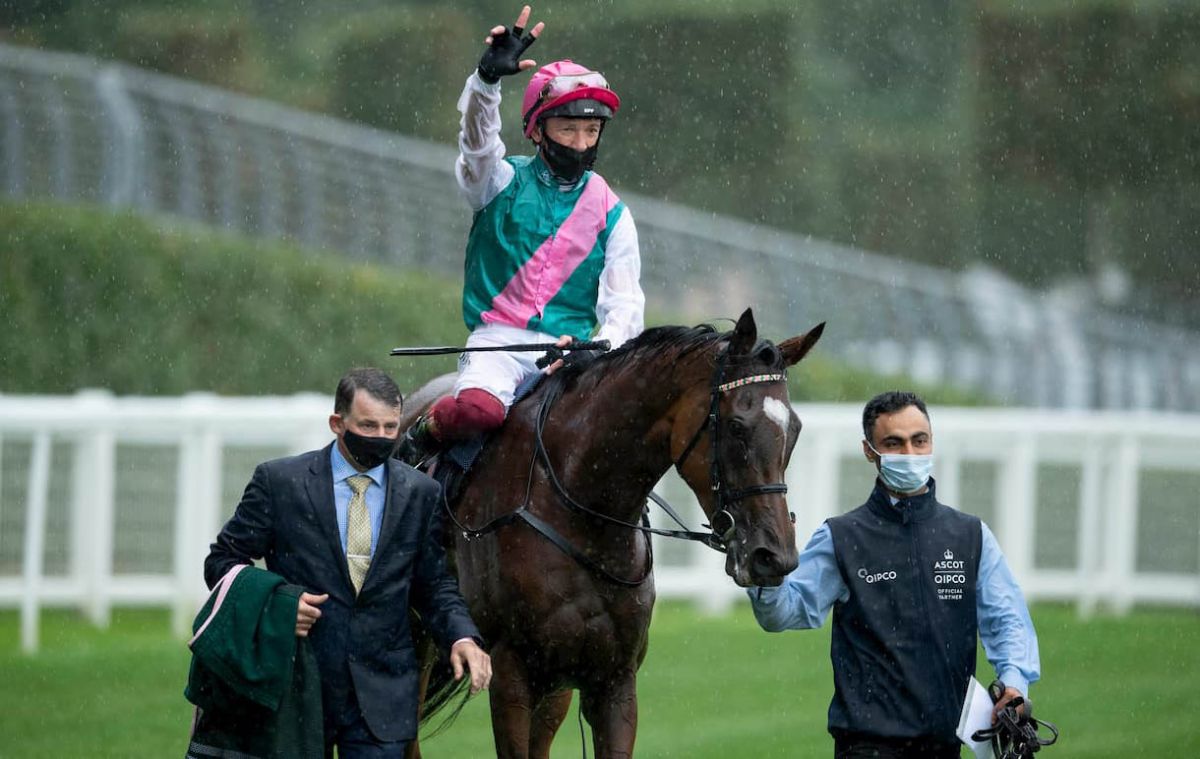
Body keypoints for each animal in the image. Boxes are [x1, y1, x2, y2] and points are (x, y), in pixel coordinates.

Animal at [403, 308, 824, 759]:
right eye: (736, 426)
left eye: (795, 429)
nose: (774, 555)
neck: (582, 510)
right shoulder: (511, 671)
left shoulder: (614, 679)